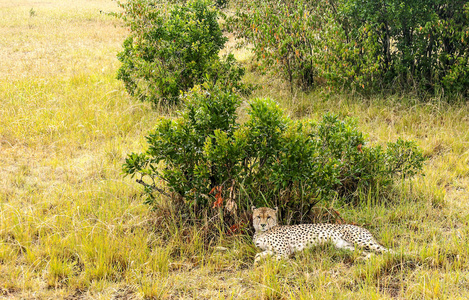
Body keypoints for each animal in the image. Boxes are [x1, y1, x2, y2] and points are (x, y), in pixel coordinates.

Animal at [252, 205, 392, 264]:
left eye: (268, 217)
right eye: (258, 216)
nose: (263, 224)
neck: (261, 232)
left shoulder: (284, 252)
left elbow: (273, 260)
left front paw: (264, 267)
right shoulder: (270, 250)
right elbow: (259, 255)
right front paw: (257, 262)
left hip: (360, 241)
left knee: (388, 251)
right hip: (346, 247)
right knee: (371, 255)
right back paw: (362, 259)